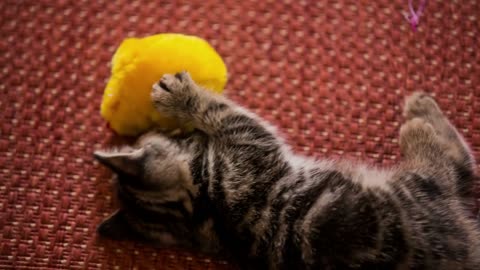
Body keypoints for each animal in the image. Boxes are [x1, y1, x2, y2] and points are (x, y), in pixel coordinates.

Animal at [94, 71, 480, 268]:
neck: (203, 209)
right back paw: (418, 118)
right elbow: (216, 107)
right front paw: (182, 97)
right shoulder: (249, 139)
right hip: (418, 187)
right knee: (457, 163)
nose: (148, 130)